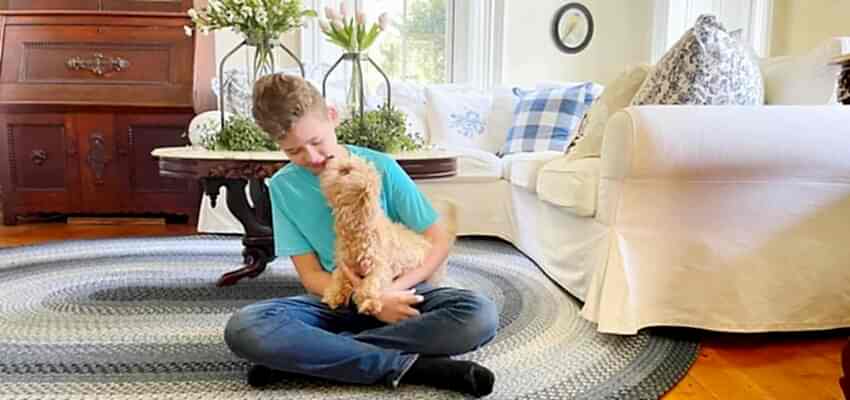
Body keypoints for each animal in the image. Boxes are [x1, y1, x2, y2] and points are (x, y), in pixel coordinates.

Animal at [316, 155, 450, 314]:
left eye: (345, 170)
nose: (330, 157)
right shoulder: (345, 263)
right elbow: (338, 276)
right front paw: (334, 295)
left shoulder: (380, 265)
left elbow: (373, 282)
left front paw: (369, 302)